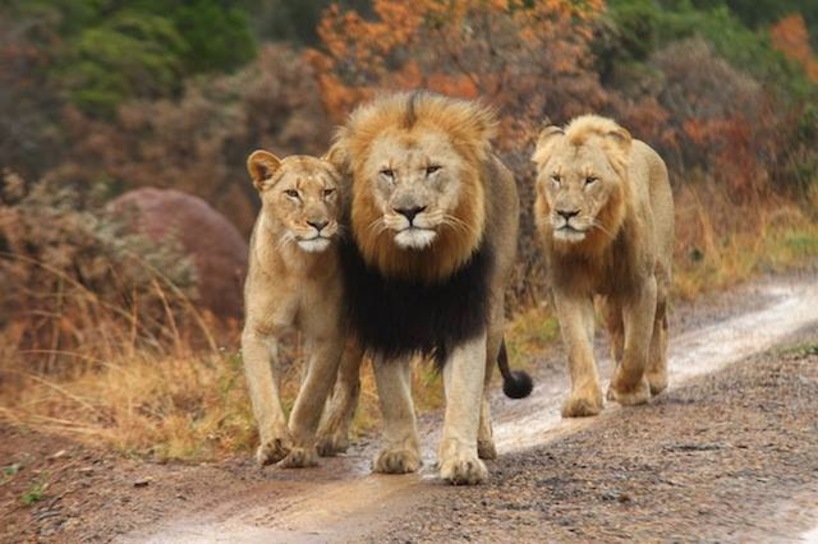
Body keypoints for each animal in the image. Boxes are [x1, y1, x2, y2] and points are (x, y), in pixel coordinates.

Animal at [241, 149, 346, 468]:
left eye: (327, 191)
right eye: (292, 193)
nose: (319, 224)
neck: (297, 262)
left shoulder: (328, 333)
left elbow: (311, 395)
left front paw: (300, 448)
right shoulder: (259, 332)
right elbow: (264, 391)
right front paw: (274, 444)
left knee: (348, 384)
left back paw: (331, 436)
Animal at [326, 92, 528, 484]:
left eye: (433, 169)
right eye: (387, 173)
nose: (409, 211)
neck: (419, 263)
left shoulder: (467, 315)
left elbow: (464, 391)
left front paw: (462, 460)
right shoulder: (384, 322)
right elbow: (394, 396)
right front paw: (397, 455)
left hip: (495, 315)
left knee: (483, 387)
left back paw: (482, 442)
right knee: (346, 380)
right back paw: (328, 437)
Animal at [532, 115, 672, 418]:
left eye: (590, 180)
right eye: (556, 178)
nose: (566, 214)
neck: (593, 242)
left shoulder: (641, 284)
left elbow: (637, 347)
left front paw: (627, 390)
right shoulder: (569, 289)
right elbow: (578, 347)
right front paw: (583, 401)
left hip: (661, 279)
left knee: (658, 326)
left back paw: (655, 379)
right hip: (611, 300)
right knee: (618, 333)